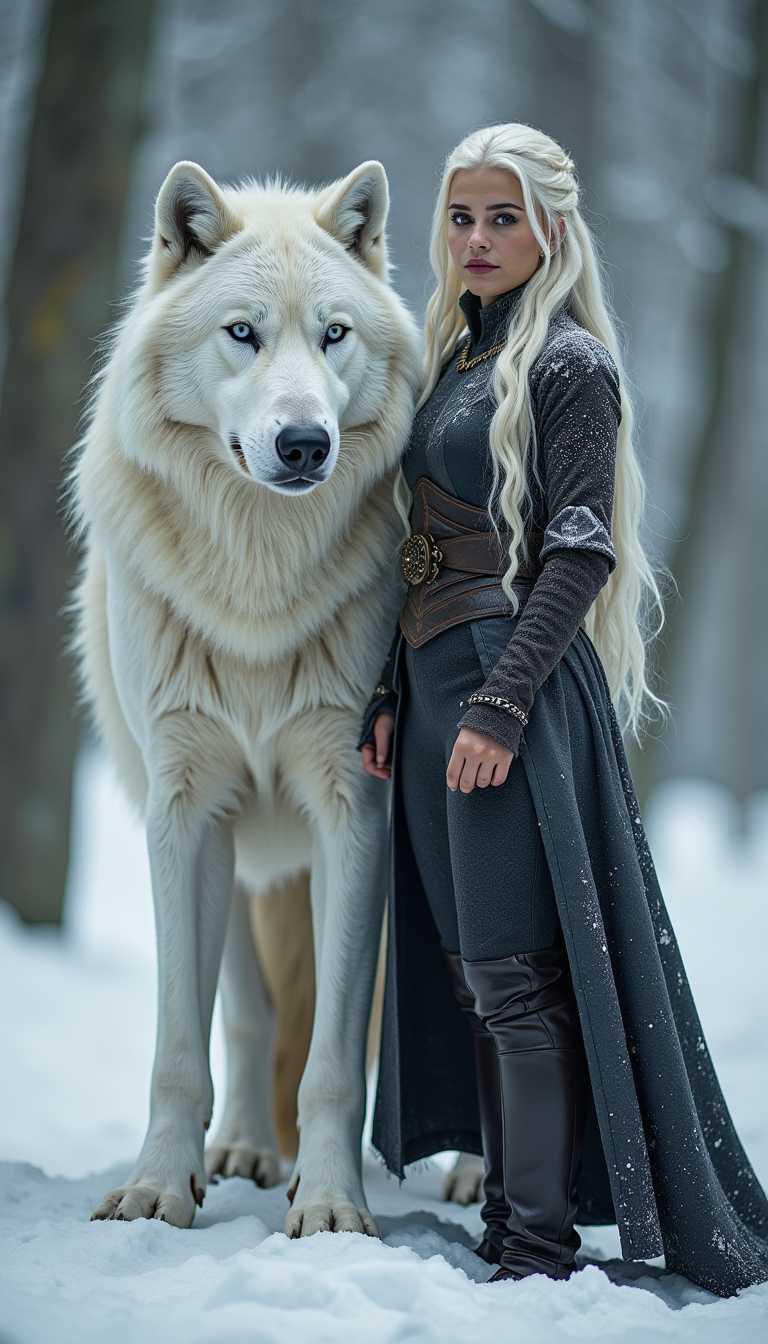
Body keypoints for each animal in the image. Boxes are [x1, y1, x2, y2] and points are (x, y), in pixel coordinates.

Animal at [66, 158, 422, 1236]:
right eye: (243, 333)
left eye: (334, 334)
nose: (303, 442)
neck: (260, 586)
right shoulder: (185, 809)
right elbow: (182, 1045)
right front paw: (157, 1189)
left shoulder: (356, 810)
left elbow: (339, 1060)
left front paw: (336, 1206)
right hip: (225, 847)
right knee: (250, 1013)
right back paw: (247, 1153)